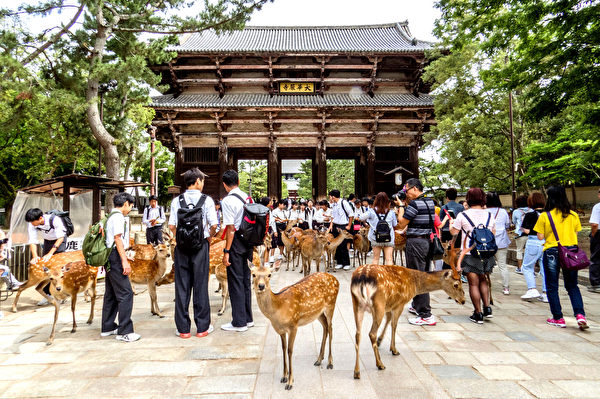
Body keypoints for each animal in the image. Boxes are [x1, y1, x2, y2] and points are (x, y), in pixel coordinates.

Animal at [251, 262, 340, 390]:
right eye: (253, 274)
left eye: (269, 274)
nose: (261, 286)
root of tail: (336, 279)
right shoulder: (280, 330)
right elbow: (283, 349)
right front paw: (284, 376)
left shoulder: (294, 325)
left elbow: (290, 350)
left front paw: (290, 382)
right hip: (318, 313)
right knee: (325, 327)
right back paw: (319, 359)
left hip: (331, 304)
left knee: (331, 328)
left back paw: (330, 363)